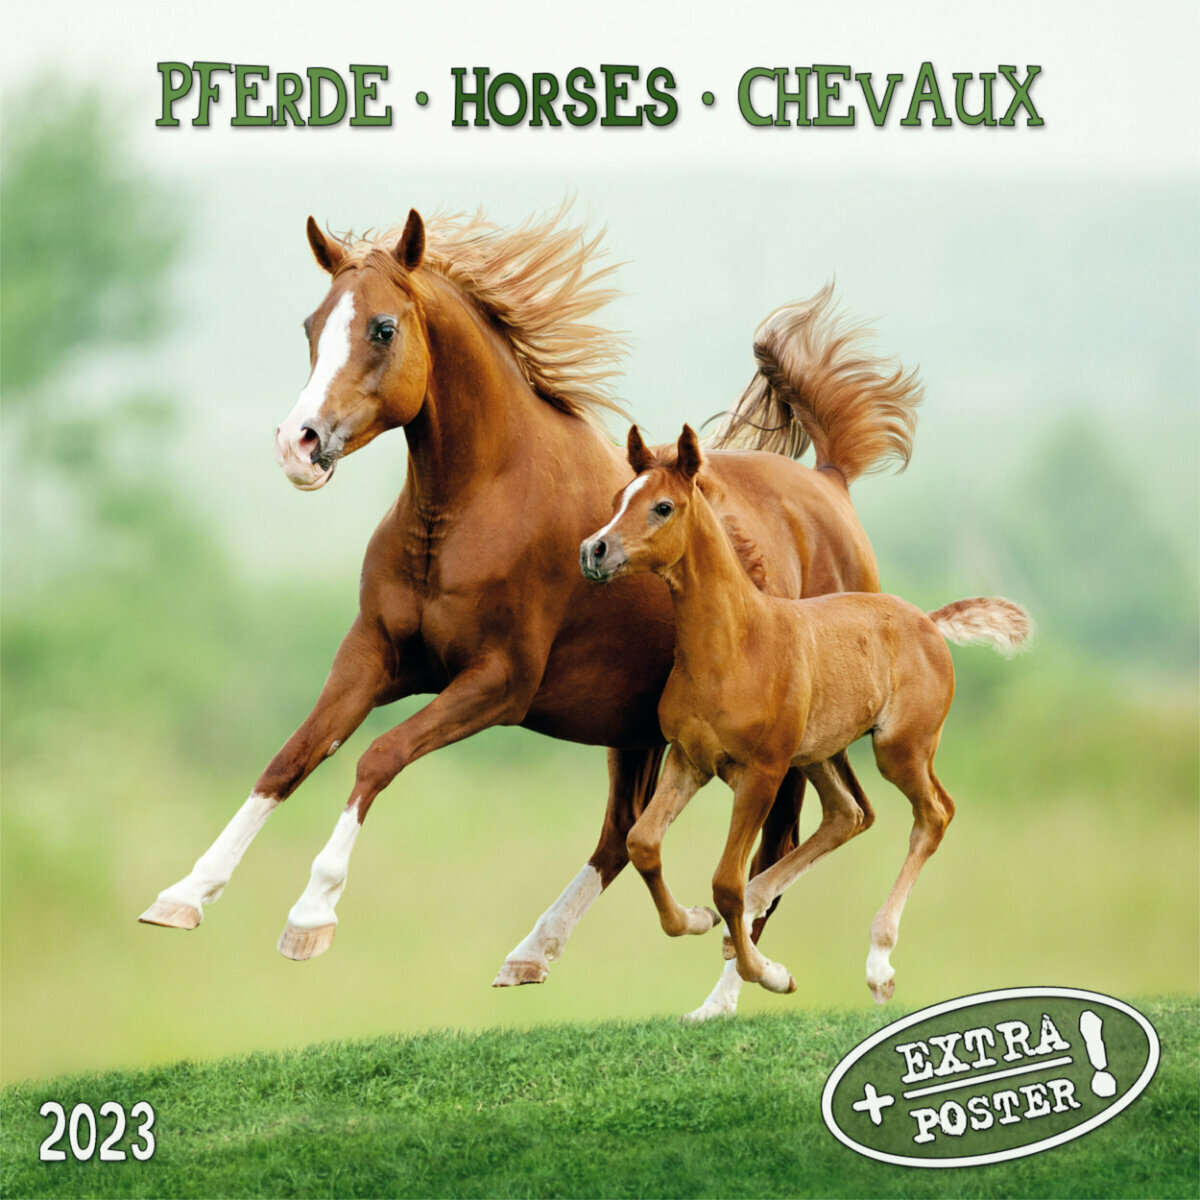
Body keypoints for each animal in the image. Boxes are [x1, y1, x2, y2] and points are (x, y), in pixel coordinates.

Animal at [138, 206, 923, 1019]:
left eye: (382, 328)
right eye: (311, 325)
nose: (299, 444)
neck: (471, 506)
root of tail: (830, 484)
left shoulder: (498, 683)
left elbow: (378, 756)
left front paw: (310, 916)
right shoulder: (374, 657)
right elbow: (292, 757)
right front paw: (184, 894)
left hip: (784, 743)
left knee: (778, 845)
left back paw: (728, 994)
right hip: (636, 727)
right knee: (625, 835)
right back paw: (535, 952)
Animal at [580, 424, 1031, 1002]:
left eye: (663, 506)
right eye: (619, 498)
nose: (594, 550)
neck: (735, 646)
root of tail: (928, 622)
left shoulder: (762, 774)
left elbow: (725, 881)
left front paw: (768, 973)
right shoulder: (689, 760)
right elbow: (644, 844)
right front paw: (698, 920)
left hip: (898, 749)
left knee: (934, 813)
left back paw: (878, 962)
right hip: (819, 752)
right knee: (848, 813)